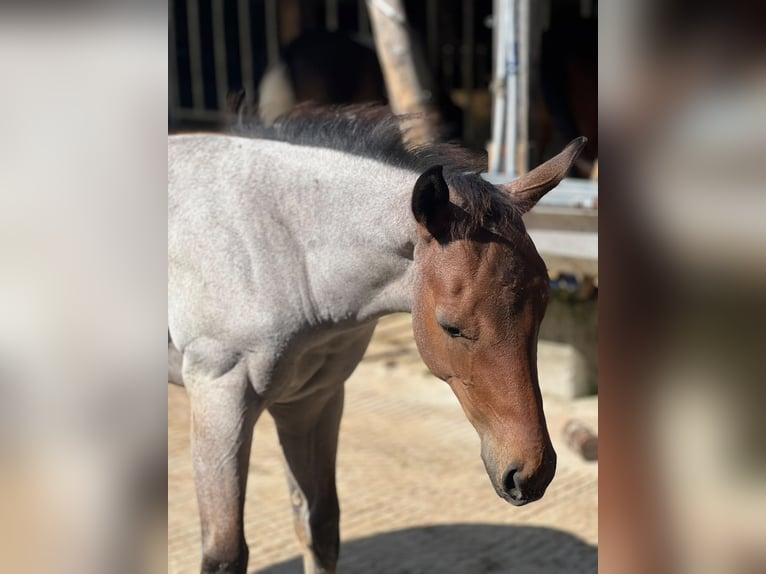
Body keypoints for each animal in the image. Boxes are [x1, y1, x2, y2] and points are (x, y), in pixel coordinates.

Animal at [168, 106, 585, 574]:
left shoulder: (312, 400)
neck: (281, 249)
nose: (531, 472)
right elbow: (224, 553)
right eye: (451, 327)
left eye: (543, 307)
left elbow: (319, 526)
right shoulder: (219, 399)